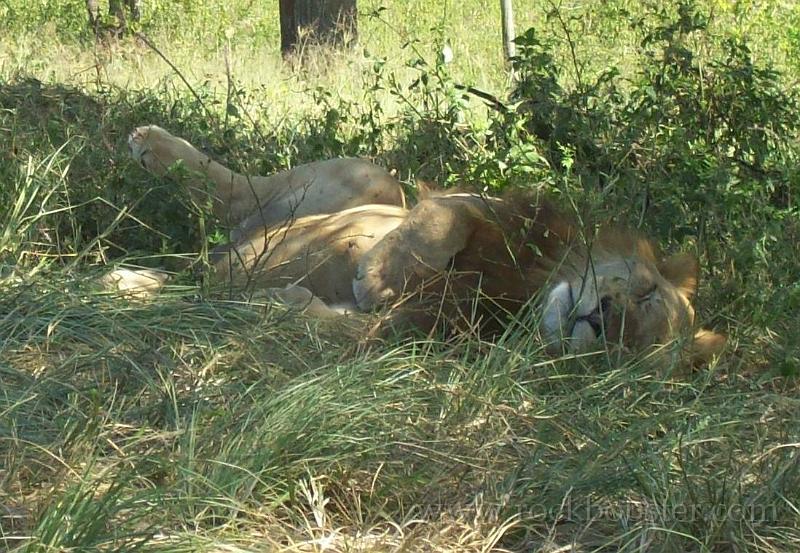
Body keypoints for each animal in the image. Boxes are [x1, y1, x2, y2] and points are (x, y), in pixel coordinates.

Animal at [120, 124, 724, 362]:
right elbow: (447, 218)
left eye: (633, 350)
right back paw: (149, 144)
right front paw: (378, 276)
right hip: (371, 178)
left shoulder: (407, 333)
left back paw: (131, 285)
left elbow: (317, 320)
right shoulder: (488, 202)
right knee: (237, 186)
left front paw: (273, 304)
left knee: (191, 271)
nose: (601, 319)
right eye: (645, 290)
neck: (526, 292)